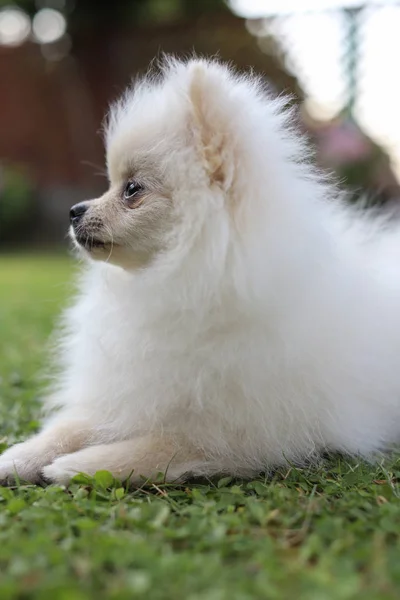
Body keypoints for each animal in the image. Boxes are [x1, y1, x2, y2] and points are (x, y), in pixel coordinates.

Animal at [0, 57, 400, 488]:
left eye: (132, 189)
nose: (74, 210)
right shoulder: (131, 390)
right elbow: (72, 426)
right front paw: (20, 456)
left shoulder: (239, 434)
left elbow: (160, 447)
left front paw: (81, 466)